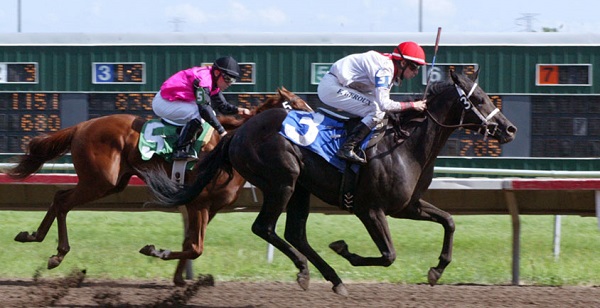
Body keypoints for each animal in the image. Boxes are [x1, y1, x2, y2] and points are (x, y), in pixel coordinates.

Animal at [4, 86, 312, 286]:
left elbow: (190, 243)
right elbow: (195, 247)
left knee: (60, 197)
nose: (316, 123)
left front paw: (180, 279)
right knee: (62, 200)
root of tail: (81, 126)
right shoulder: (198, 202)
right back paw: (54, 252)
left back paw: (35, 237)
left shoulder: (209, 207)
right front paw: (156, 252)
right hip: (99, 181)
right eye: (299, 106)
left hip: (110, 184)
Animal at [144, 71, 516, 298]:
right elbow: (388, 255)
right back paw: (307, 272)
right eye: (479, 99)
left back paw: (332, 279)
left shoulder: (406, 206)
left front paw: (437, 271)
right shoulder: (369, 209)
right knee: (265, 228)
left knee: (294, 233)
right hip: (283, 182)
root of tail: (236, 134)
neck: (406, 144)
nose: (509, 129)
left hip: (301, 188)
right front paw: (343, 248)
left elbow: (449, 221)